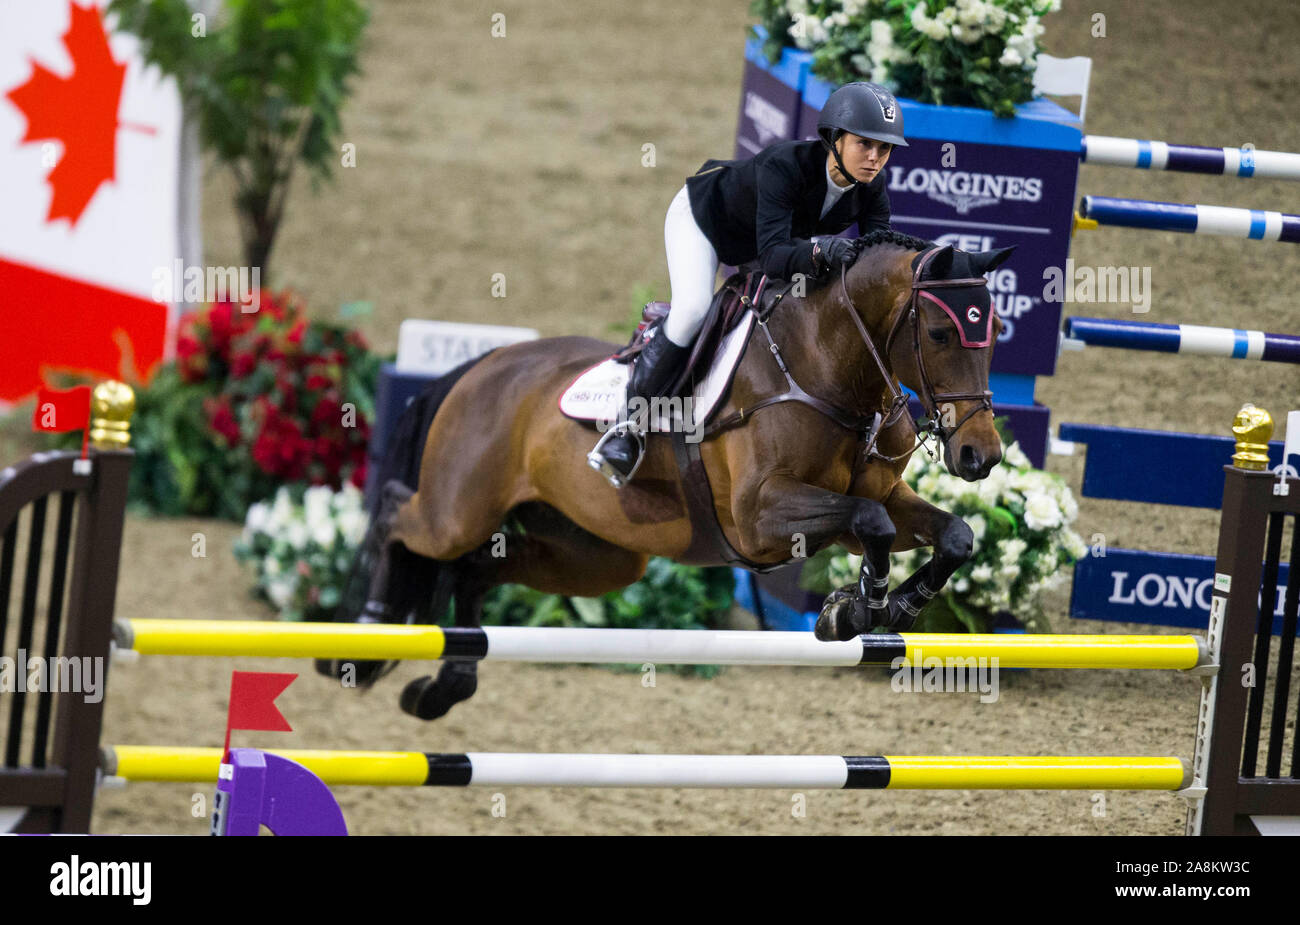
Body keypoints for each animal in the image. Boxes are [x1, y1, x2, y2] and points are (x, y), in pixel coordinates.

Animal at [325, 229, 1013, 717]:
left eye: (998, 328)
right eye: (938, 332)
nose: (980, 455)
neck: (826, 371)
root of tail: (484, 364)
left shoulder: (871, 499)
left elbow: (950, 535)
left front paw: (887, 607)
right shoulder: (761, 516)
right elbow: (870, 524)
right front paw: (855, 609)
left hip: (593, 555)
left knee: (476, 568)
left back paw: (446, 686)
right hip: (460, 510)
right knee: (397, 514)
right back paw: (365, 631)